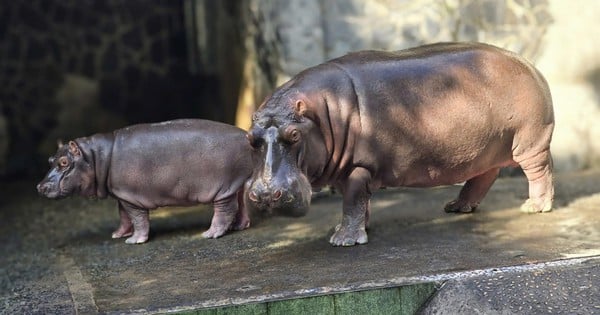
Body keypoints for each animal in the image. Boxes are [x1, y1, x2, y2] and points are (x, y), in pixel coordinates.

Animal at [37, 118, 253, 244]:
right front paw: (118, 235)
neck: (96, 156)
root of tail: (245, 136)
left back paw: (210, 234)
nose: (40, 186)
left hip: (223, 187)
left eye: (64, 162)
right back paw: (238, 227)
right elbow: (124, 216)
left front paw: (134, 241)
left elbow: (138, 218)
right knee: (241, 203)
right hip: (237, 182)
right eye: (49, 159)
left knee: (226, 209)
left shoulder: (131, 196)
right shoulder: (122, 195)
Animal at [244, 43, 552, 248]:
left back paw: (535, 207)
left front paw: (343, 240)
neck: (324, 112)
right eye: (250, 138)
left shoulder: (358, 166)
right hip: (486, 148)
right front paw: (355, 228)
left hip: (530, 143)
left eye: (294, 135)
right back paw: (457, 207)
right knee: (484, 176)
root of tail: (531, 65)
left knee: (540, 172)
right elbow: (358, 201)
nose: (266, 195)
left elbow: (353, 200)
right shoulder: (349, 169)